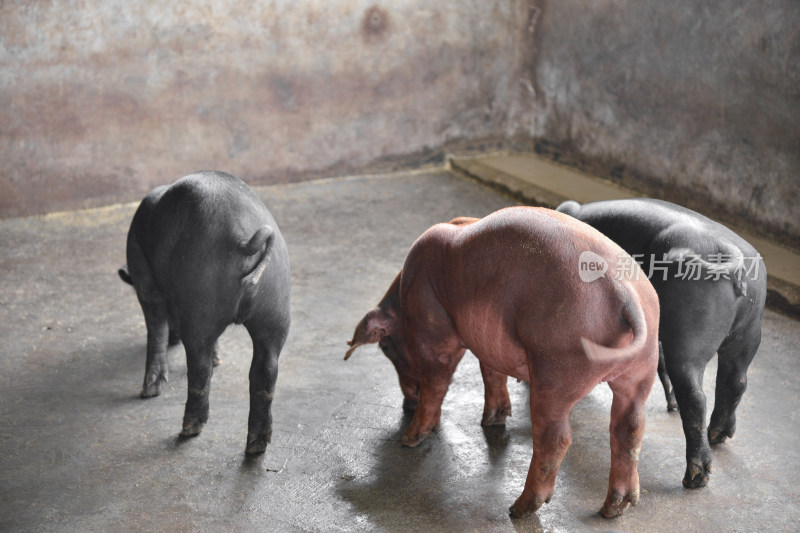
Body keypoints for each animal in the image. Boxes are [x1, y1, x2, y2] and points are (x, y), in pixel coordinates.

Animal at [346, 206, 660, 516]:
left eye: (386, 346)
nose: (407, 404)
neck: (404, 300)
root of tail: (623, 291)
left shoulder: (433, 333)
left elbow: (437, 383)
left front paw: (410, 439)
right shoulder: (489, 344)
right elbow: (492, 373)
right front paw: (493, 421)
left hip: (557, 370)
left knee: (555, 438)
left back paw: (518, 509)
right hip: (641, 370)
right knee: (630, 427)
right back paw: (615, 508)